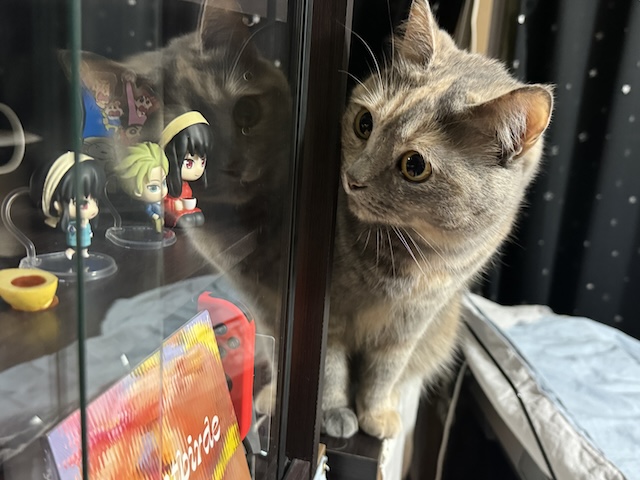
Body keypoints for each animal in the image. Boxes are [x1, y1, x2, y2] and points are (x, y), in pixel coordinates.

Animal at [322, 0, 553, 439]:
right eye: (364, 124)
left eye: (414, 165)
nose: (352, 178)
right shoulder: (331, 306)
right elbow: (329, 362)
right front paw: (334, 411)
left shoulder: (412, 324)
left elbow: (385, 371)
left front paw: (374, 413)